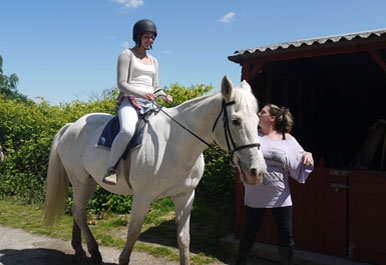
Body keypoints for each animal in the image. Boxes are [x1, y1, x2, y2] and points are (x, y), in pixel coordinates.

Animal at [42, 75, 266, 264]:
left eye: (258, 120)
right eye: (236, 121)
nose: (257, 172)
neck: (174, 143)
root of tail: (72, 125)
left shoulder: (185, 196)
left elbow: (184, 239)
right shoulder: (142, 197)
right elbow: (133, 234)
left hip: (88, 182)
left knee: (78, 211)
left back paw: (80, 249)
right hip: (81, 181)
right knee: (79, 212)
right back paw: (94, 251)